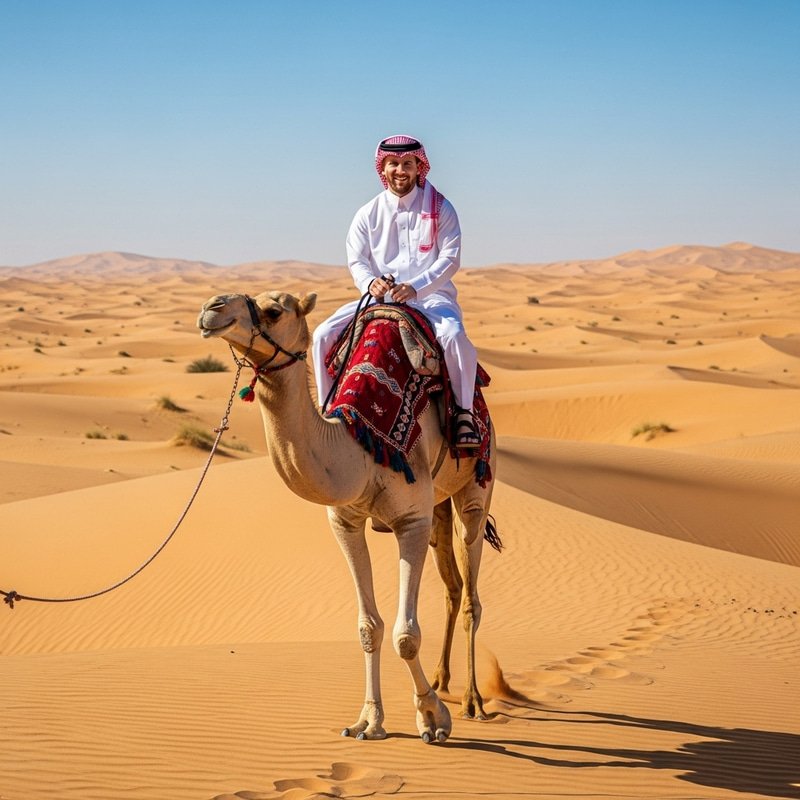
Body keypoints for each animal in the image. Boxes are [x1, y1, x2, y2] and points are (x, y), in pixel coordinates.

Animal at [196, 290, 497, 743]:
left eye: (274, 311)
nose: (211, 308)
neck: (361, 445)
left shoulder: (411, 520)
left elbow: (406, 635)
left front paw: (432, 718)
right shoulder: (346, 523)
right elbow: (369, 628)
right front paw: (369, 721)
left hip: (476, 487)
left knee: (472, 593)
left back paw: (472, 702)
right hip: (439, 506)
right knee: (453, 587)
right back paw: (442, 680)